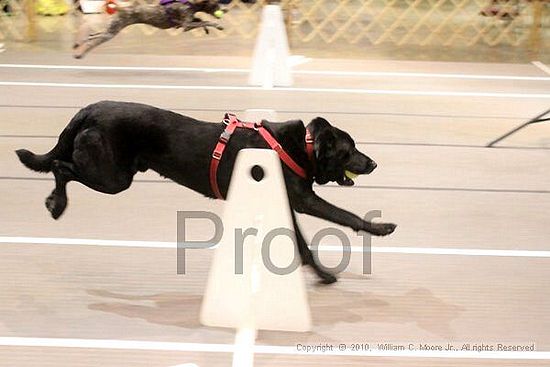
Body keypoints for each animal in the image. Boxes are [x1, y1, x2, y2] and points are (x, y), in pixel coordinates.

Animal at [16, 100, 396, 284]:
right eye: (350, 150)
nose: (375, 163)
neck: (300, 148)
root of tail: (88, 110)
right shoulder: (303, 200)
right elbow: (345, 216)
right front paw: (379, 229)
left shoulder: (283, 205)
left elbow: (302, 245)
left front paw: (319, 273)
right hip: (113, 178)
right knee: (60, 166)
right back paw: (56, 203)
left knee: (61, 165)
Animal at [73, 0, 224, 58]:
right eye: (215, 3)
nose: (224, 10)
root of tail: (120, 7)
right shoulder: (186, 25)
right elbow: (205, 21)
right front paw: (217, 25)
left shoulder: (185, 24)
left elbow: (201, 21)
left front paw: (207, 28)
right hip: (111, 32)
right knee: (93, 41)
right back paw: (81, 53)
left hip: (110, 30)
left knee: (93, 36)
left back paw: (81, 44)